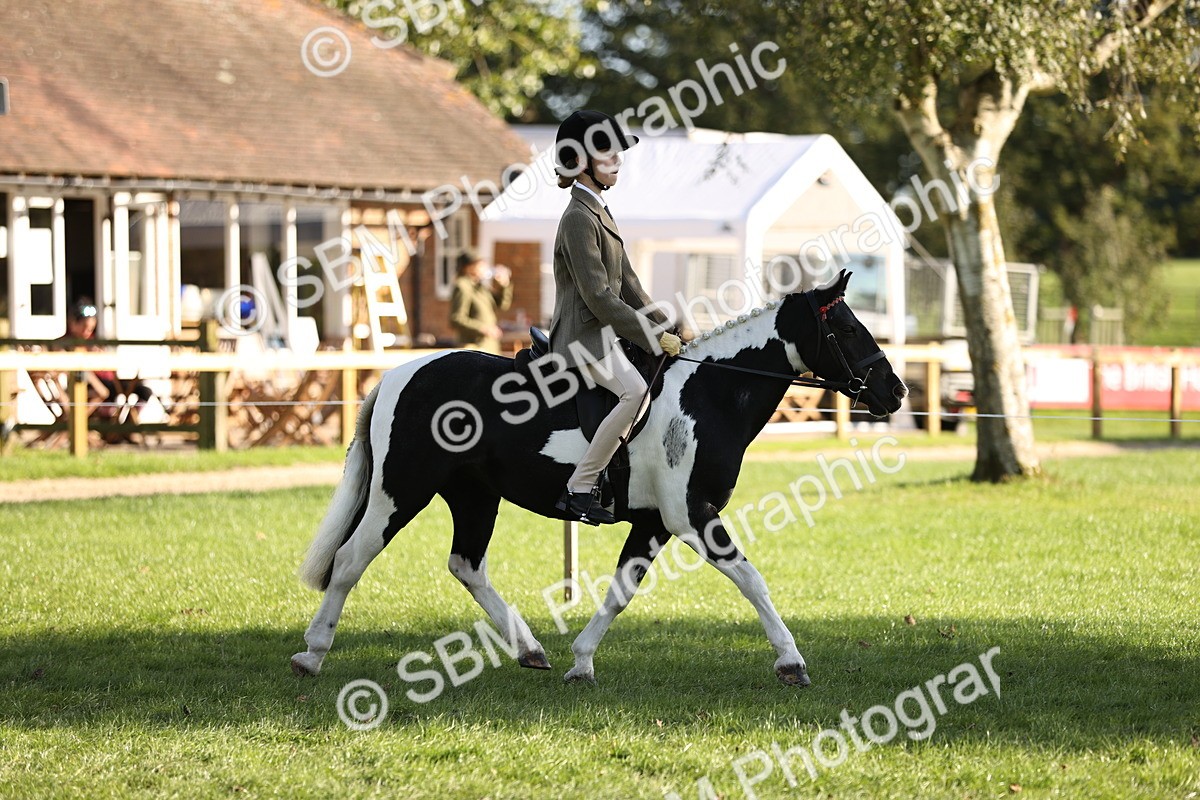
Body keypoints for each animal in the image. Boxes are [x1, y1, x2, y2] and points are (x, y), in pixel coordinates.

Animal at [290, 269, 907, 686]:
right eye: (848, 328)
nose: (895, 391)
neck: (707, 395)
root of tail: (401, 373)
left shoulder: (655, 522)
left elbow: (620, 591)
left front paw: (581, 661)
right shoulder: (692, 516)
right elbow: (753, 581)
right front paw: (791, 661)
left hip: (474, 494)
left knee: (466, 565)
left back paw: (529, 649)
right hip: (401, 491)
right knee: (350, 561)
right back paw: (312, 654)